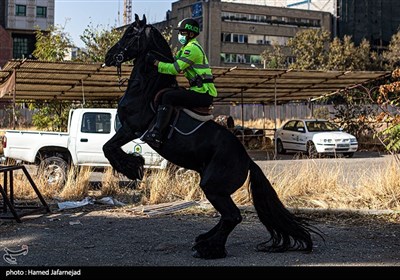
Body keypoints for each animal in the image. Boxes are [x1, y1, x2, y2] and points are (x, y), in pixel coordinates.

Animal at [103, 14, 322, 260]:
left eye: (131, 34)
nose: (109, 56)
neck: (145, 88)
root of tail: (248, 161)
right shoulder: (128, 130)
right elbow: (109, 148)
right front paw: (134, 165)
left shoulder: (131, 128)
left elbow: (109, 148)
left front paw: (132, 167)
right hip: (214, 187)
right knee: (228, 217)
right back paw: (203, 240)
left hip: (213, 187)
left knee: (233, 216)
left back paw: (209, 248)